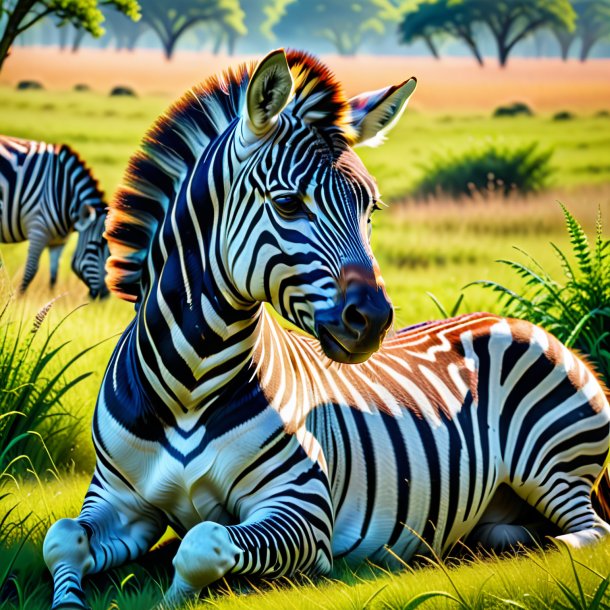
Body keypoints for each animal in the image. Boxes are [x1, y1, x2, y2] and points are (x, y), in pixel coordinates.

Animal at [0, 134, 108, 296]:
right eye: (94, 249)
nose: (105, 295)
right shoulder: (38, 231)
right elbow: (30, 271)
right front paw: (18, 300)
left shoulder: (58, 242)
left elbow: (53, 277)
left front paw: (53, 299)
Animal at [42, 50, 608, 604]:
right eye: (288, 203)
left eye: (370, 207)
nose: (374, 320)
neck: (187, 385)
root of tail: (526, 325)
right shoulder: (118, 497)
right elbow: (62, 539)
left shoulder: (304, 508)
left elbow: (202, 544)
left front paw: (175, 592)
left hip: (553, 463)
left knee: (584, 534)